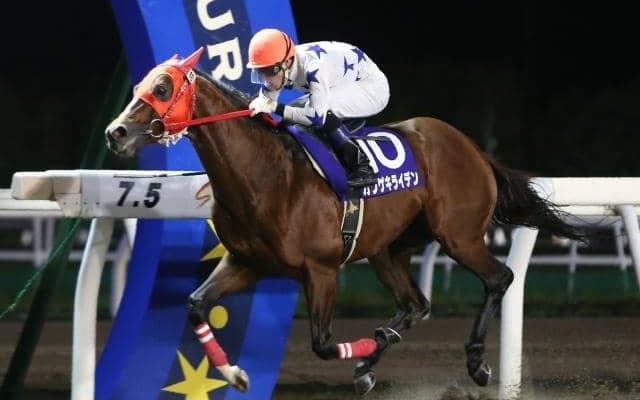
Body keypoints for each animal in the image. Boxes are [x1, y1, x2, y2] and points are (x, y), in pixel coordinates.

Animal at [105, 47, 585, 395]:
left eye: (163, 87)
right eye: (139, 85)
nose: (115, 133)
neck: (266, 173)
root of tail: (474, 149)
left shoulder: (320, 270)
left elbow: (321, 343)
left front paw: (367, 347)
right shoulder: (246, 262)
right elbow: (195, 304)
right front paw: (235, 375)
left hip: (459, 236)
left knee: (499, 278)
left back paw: (476, 363)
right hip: (388, 251)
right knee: (416, 304)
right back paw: (373, 361)